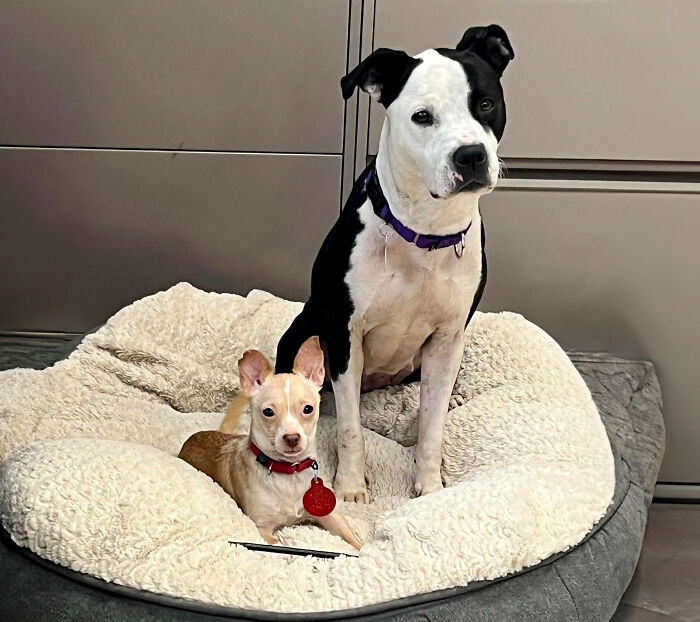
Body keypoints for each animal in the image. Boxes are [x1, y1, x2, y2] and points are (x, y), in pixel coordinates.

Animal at [278, 24, 516, 504]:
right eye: (422, 117)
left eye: (484, 103)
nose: (470, 155)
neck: (424, 231)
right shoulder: (344, 334)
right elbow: (350, 429)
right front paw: (351, 487)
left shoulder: (446, 339)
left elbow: (432, 429)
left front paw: (429, 486)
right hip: (306, 329)